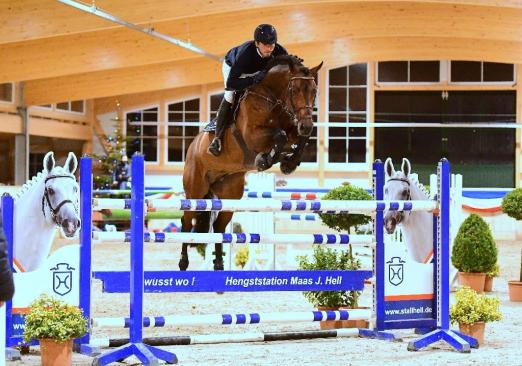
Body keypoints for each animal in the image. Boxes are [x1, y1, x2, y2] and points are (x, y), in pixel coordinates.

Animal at [179, 55, 320, 270]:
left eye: (314, 91)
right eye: (295, 90)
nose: (306, 124)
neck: (273, 98)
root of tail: (192, 147)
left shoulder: (293, 130)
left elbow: (296, 138)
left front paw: (288, 163)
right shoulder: (253, 136)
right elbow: (279, 135)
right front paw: (265, 160)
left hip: (230, 193)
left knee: (219, 226)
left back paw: (218, 264)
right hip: (195, 189)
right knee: (187, 222)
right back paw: (183, 262)